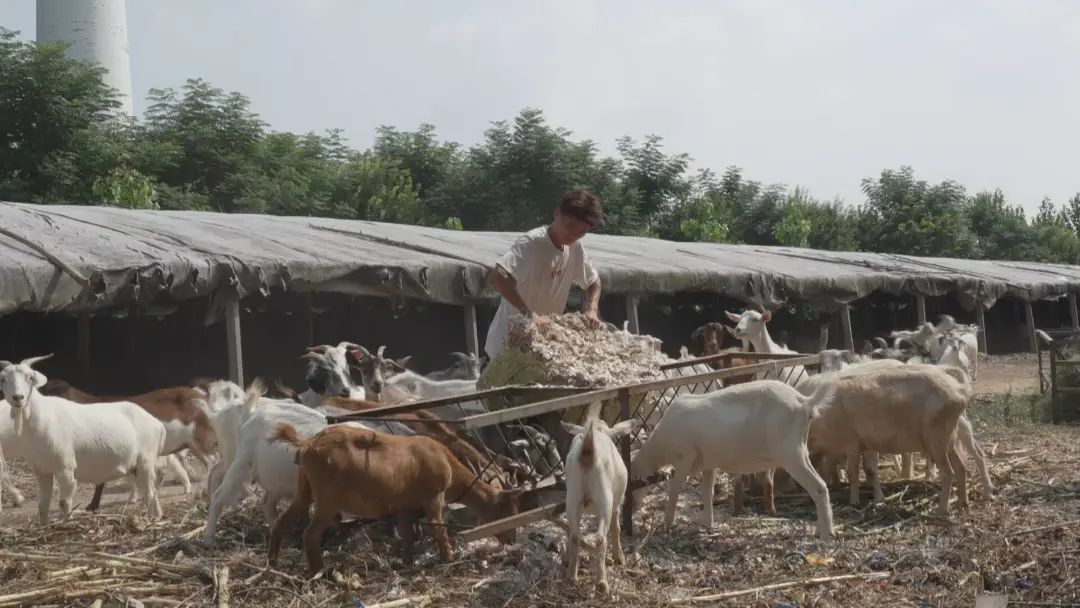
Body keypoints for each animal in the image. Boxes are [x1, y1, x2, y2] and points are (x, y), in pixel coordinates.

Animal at [0, 356, 164, 522]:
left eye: (30, 377)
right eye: (3, 379)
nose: (18, 398)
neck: (42, 418)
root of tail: (156, 423)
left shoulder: (66, 468)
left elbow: (64, 503)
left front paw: (67, 522)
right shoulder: (42, 471)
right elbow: (43, 506)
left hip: (145, 461)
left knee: (149, 494)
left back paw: (151, 519)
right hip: (137, 467)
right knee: (153, 491)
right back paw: (158, 516)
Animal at [268, 423, 522, 574]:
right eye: (509, 510)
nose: (511, 540)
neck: (445, 460)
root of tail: (307, 443)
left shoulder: (405, 508)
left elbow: (409, 535)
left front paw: (407, 562)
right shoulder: (433, 497)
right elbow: (437, 528)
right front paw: (449, 559)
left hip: (305, 490)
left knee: (281, 522)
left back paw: (273, 565)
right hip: (327, 499)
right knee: (310, 534)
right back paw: (321, 572)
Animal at [561, 403, 635, 596]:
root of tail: (588, 448)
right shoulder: (617, 503)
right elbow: (616, 528)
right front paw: (619, 557)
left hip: (573, 497)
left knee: (574, 535)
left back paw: (572, 577)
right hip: (604, 497)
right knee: (601, 536)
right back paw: (602, 582)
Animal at [626, 380, 833, 542]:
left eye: (632, 484)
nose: (632, 507)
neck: (660, 444)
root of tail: (803, 402)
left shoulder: (685, 456)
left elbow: (675, 488)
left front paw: (667, 524)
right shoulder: (708, 463)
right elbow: (707, 491)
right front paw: (707, 523)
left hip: (789, 451)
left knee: (818, 486)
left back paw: (826, 534)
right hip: (800, 448)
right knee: (821, 485)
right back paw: (820, 530)